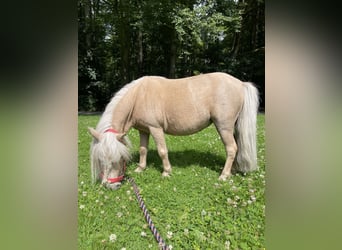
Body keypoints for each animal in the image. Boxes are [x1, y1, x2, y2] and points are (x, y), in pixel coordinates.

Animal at [89, 72, 260, 189]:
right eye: (100, 159)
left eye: (118, 158)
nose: (110, 186)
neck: (138, 96)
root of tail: (240, 83)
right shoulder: (144, 130)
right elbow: (143, 149)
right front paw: (140, 168)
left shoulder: (155, 128)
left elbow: (162, 151)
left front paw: (166, 172)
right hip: (233, 127)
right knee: (237, 147)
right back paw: (233, 170)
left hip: (223, 127)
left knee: (231, 148)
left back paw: (224, 175)